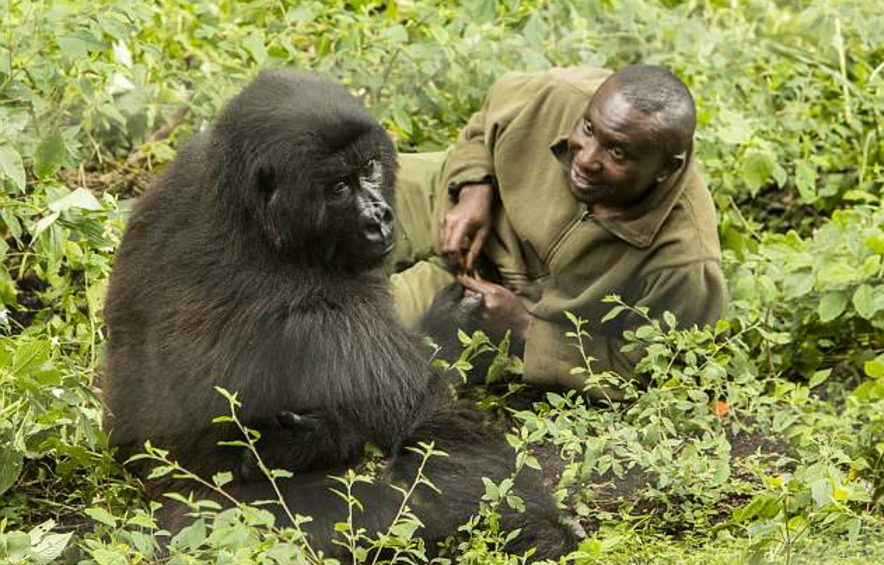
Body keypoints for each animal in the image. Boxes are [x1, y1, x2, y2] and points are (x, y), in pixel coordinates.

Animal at [103, 68, 572, 556]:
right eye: (339, 188)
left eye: (369, 168)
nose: (380, 218)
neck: (252, 213)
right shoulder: (324, 301)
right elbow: (435, 439)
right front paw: (545, 534)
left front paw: (451, 323)